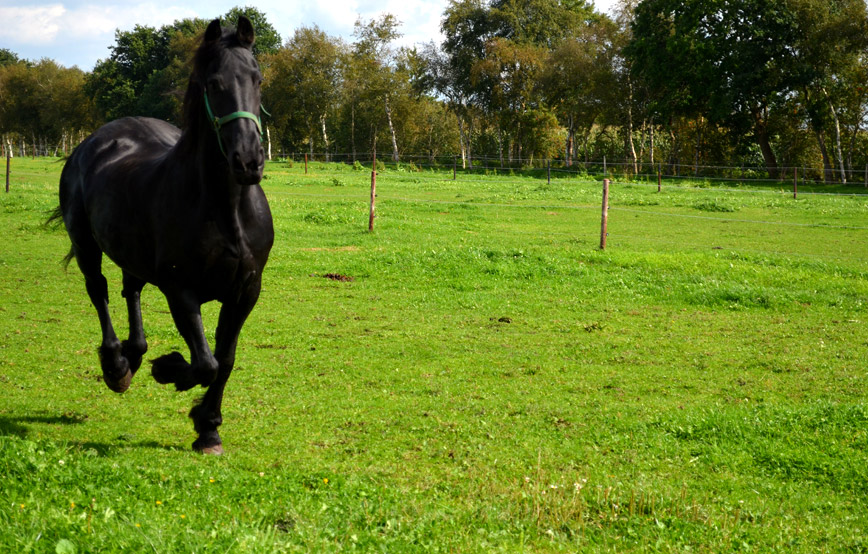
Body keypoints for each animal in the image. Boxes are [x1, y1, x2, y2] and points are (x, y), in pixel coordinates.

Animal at [52, 17, 274, 455]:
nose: (248, 161)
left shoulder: (245, 292)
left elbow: (225, 360)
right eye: (214, 84)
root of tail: (96, 139)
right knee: (99, 290)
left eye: (257, 79)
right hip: (86, 245)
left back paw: (134, 354)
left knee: (131, 290)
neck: (226, 210)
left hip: (130, 250)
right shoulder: (180, 290)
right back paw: (117, 365)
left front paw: (208, 428)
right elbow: (205, 362)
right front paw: (169, 370)